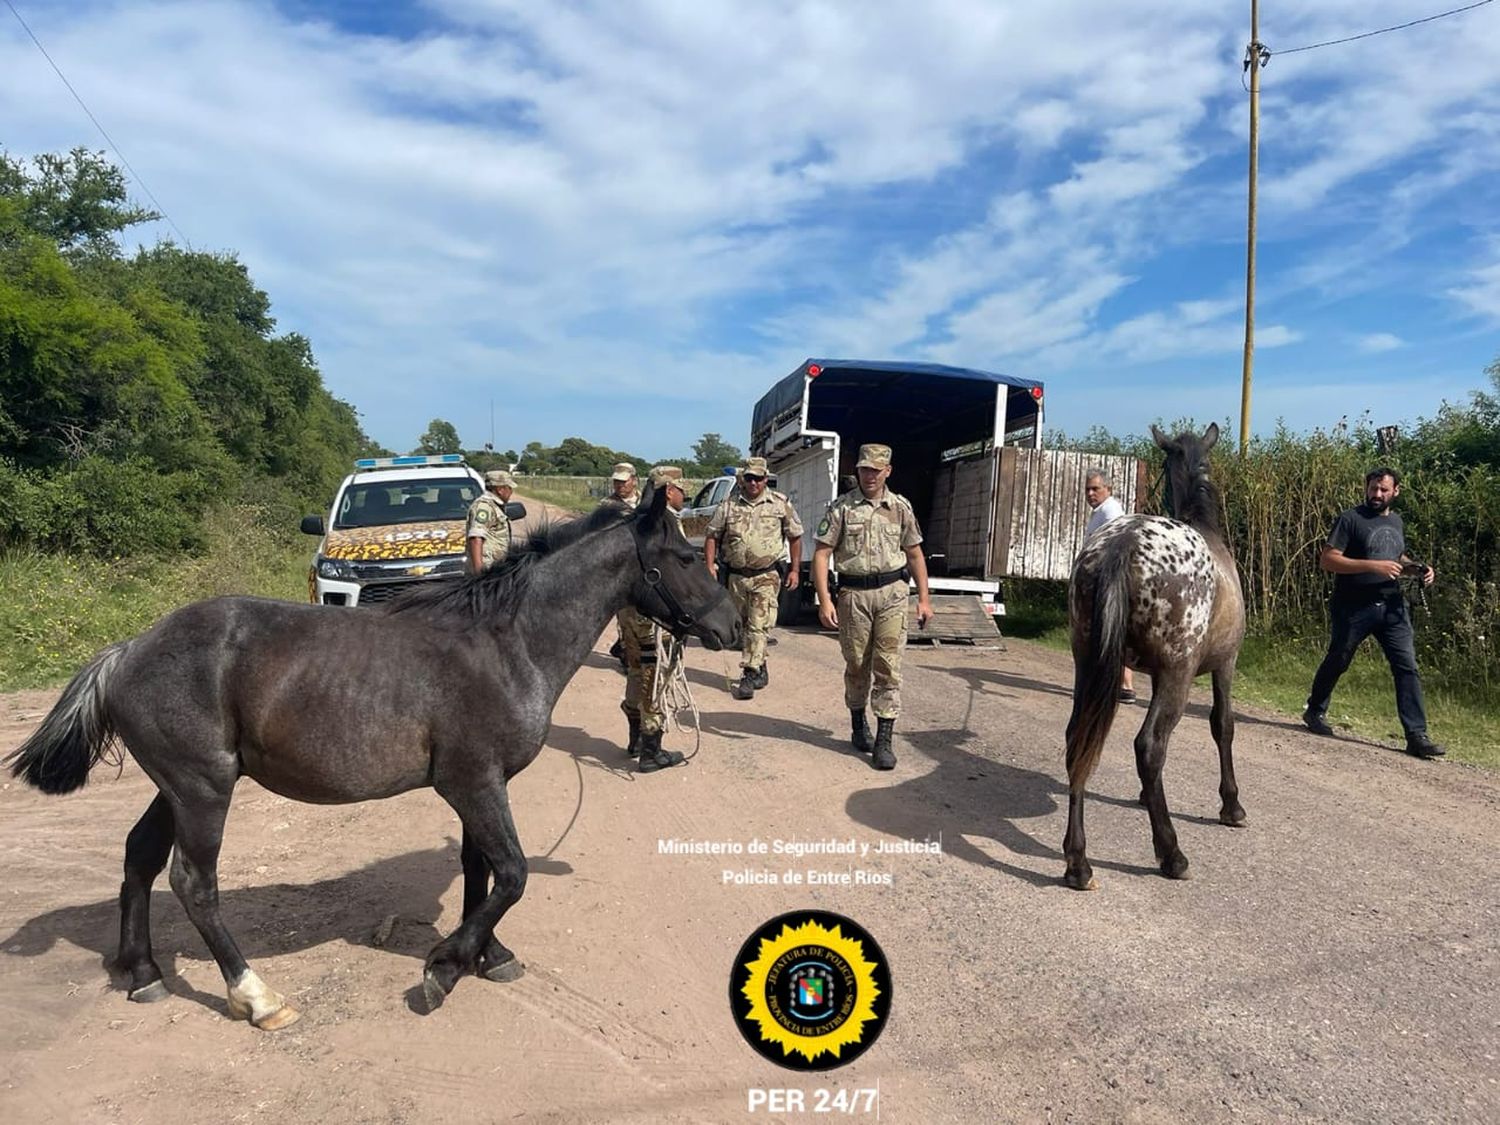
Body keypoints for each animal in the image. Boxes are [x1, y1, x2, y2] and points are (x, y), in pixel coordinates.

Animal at [2, 486, 735, 1032]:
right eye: (682, 554)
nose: (727, 626)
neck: (505, 644)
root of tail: (127, 649)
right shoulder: (474, 783)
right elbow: (512, 873)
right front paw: (443, 969)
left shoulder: (477, 785)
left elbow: (480, 871)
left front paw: (488, 956)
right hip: (202, 789)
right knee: (192, 882)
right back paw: (257, 998)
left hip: (176, 787)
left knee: (139, 858)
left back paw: (143, 973)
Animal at [1062, 423, 1248, 888]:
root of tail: (1122, 545)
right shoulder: (1225, 664)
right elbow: (1223, 726)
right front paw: (1231, 806)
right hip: (1178, 673)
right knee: (1149, 746)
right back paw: (1172, 854)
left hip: (1086, 662)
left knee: (1077, 741)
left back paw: (1078, 862)